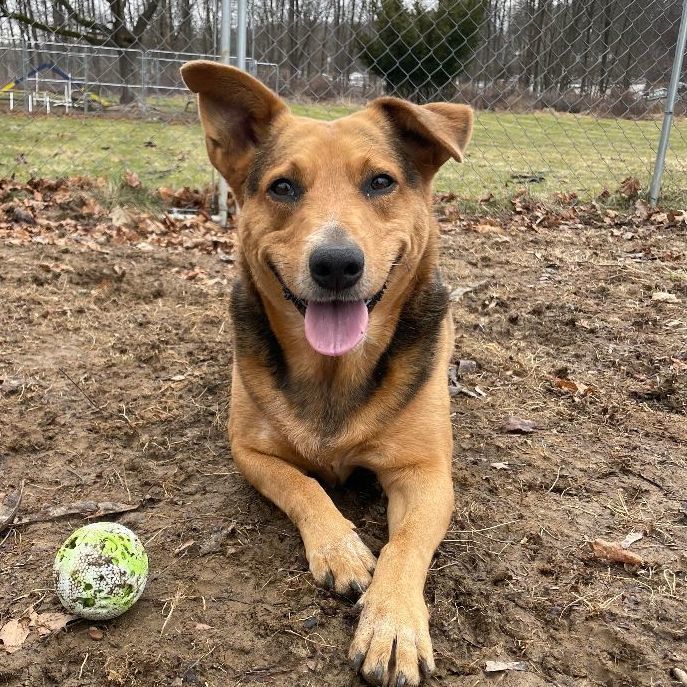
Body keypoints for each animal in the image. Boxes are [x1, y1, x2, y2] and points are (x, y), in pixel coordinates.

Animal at [181, 61, 472, 684]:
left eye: (381, 182)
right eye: (282, 187)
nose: (336, 264)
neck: (333, 370)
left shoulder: (426, 473)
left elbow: (405, 544)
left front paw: (392, 624)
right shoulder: (249, 452)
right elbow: (304, 484)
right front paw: (341, 547)